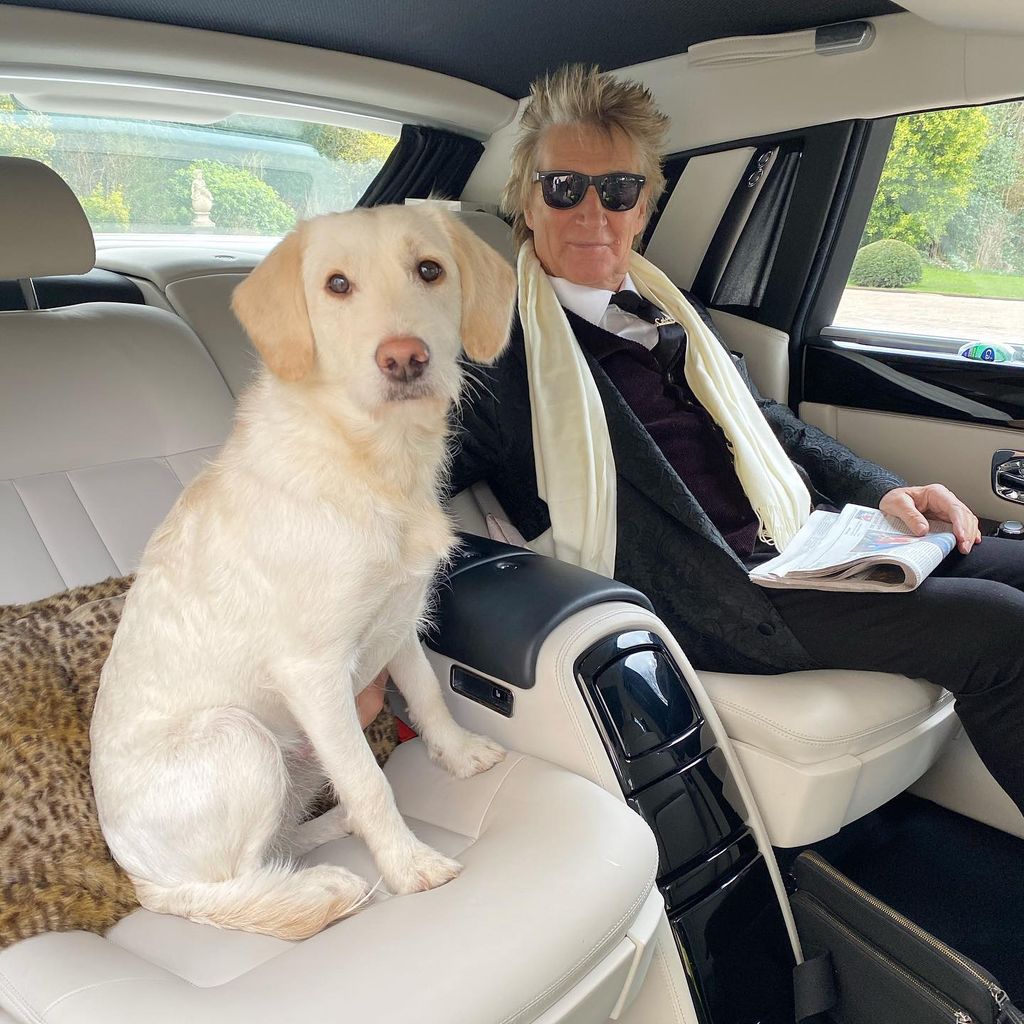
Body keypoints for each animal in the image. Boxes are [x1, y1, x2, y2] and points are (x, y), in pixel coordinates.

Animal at [91, 203, 516, 937]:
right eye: (336, 285)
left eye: (430, 270)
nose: (405, 358)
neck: (371, 463)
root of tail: (144, 885)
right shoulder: (313, 673)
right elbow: (372, 781)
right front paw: (408, 866)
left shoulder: (399, 623)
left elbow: (429, 696)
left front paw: (459, 755)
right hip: (245, 740)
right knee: (233, 885)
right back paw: (316, 890)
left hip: (298, 757)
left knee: (283, 840)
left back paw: (328, 836)